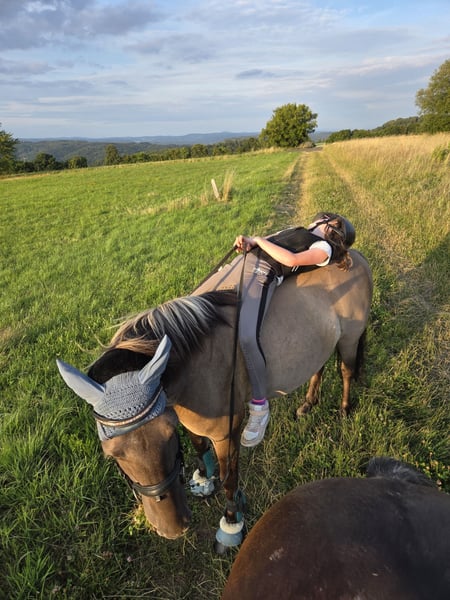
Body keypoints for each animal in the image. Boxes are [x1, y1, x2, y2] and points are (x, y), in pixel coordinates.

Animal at [57, 250, 372, 548]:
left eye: (167, 435)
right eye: (112, 455)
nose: (171, 528)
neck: (194, 364)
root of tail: (356, 257)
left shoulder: (226, 433)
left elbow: (229, 479)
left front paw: (231, 523)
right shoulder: (189, 421)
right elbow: (199, 448)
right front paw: (203, 478)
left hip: (349, 339)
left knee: (345, 370)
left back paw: (344, 410)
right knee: (319, 365)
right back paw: (308, 403)